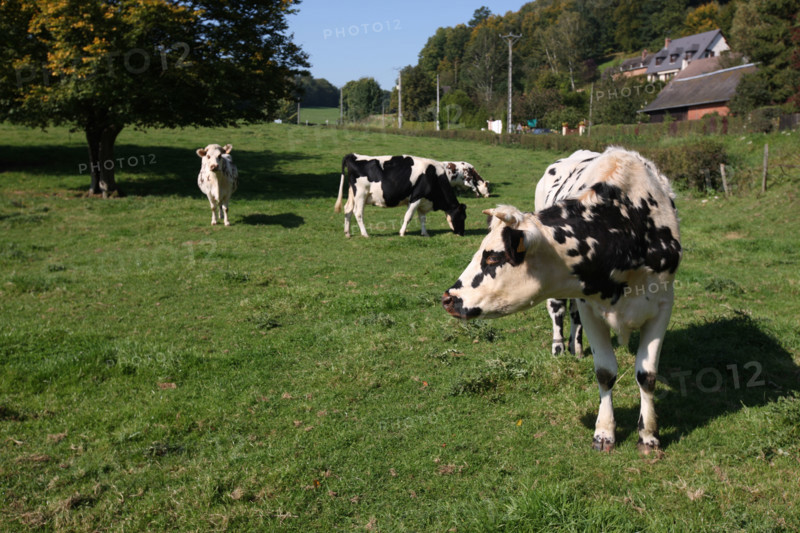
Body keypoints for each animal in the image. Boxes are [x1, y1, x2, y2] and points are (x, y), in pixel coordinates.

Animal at [334, 153, 467, 238]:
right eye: (463, 217)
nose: (462, 233)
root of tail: (353, 155)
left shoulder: (423, 201)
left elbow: (422, 218)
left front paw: (425, 233)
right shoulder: (416, 197)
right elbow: (408, 217)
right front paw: (402, 233)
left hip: (352, 193)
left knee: (348, 210)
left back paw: (347, 233)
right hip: (361, 193)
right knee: (358, 213)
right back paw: (365, 234)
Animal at [442, 147, 681, 454]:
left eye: (493, 257)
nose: (449, 298)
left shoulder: (662, 305)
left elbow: (647, 375)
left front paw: (649, 436)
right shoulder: (591, 307)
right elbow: (605, 372)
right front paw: (604, 432)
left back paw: (575, 348)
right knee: (558, 310)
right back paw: (558, 347)